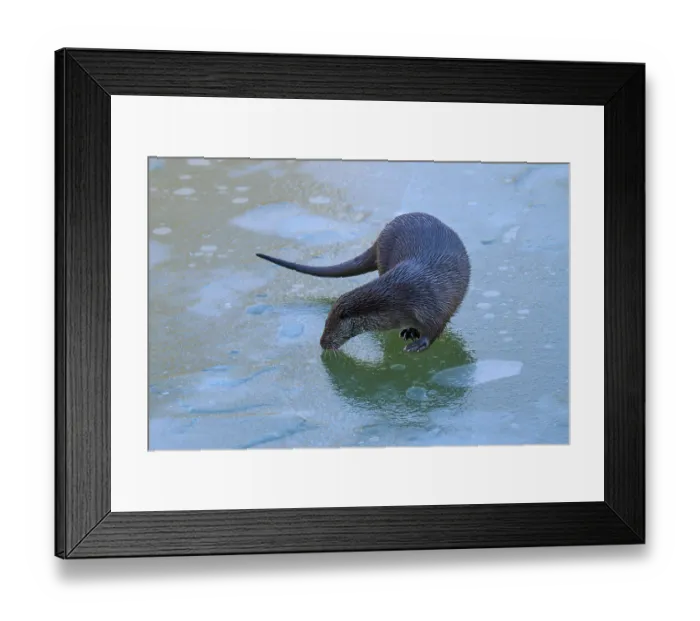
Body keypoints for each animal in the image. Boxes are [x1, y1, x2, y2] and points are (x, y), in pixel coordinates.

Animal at [256, 212, 470, 353]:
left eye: (330, 327)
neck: (402, 297)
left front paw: (418, 344)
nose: (322, 343)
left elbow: (436, 327)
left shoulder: (432, 305)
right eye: (325, 323)